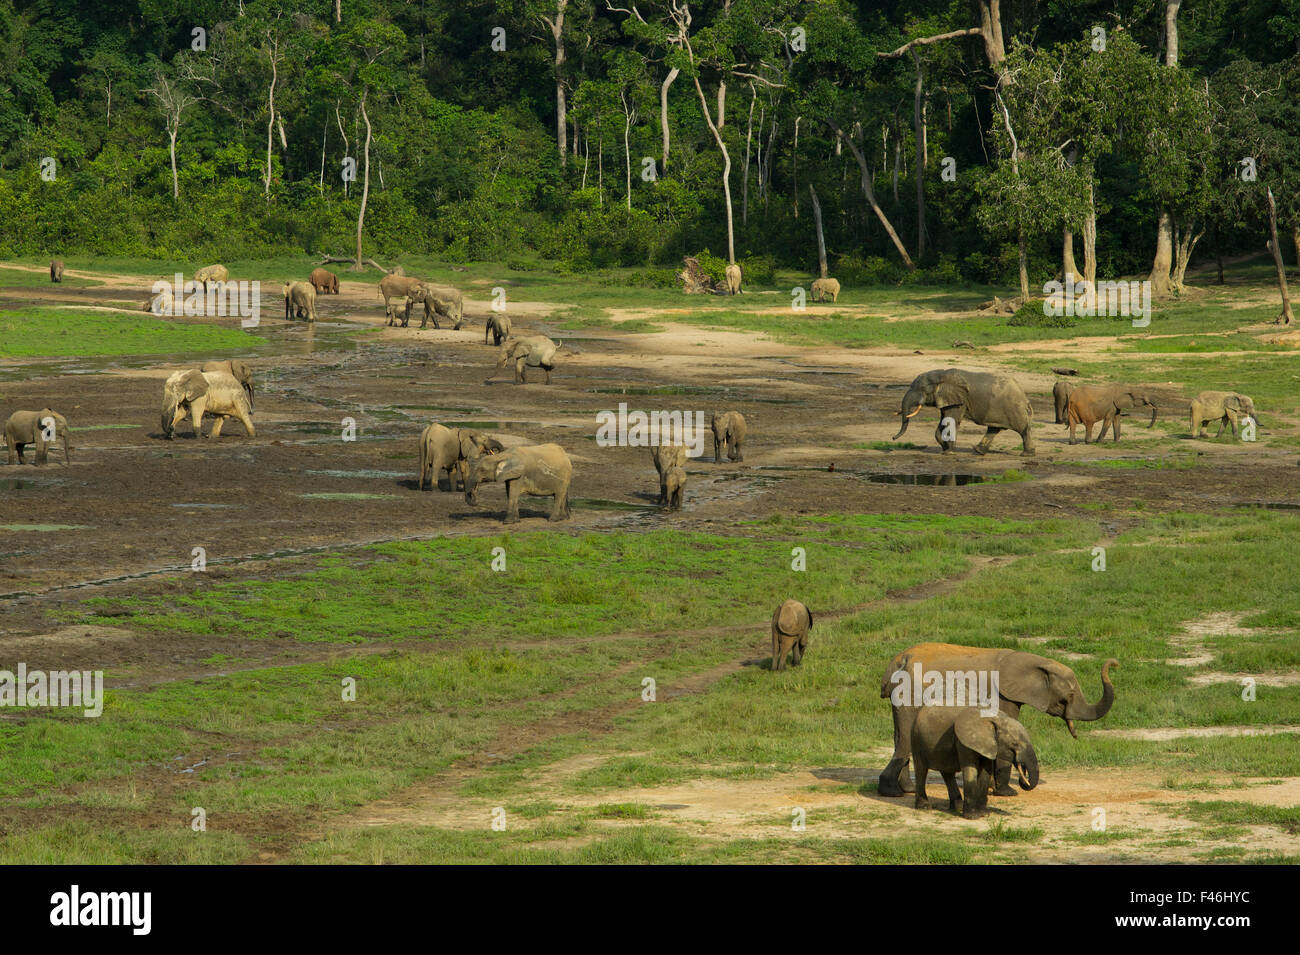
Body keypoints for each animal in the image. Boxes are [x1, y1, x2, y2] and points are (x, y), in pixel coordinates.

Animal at [878, 643, 1117, 798]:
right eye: (1069, 696)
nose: (1114, 663)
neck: (1033, 660)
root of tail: (898, 661)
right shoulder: (1002, 694)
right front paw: (1007, 793)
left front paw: (993, 788)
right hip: (909, 692)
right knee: (905, 738)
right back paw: (891, 792)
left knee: (901, 736)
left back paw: (906, 789)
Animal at [894, 369, 1035, 456]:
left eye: (922, 389)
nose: (893, 438)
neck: (941, 374)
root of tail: (1025, 397)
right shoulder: (948, 400)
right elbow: (944, 421)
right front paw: (945, 449)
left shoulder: (959, 401)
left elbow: (951, 421)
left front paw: (948, 452)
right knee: (993, 428)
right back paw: (978, 451)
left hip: (1014, 409)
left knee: (1023, 429)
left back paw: (1027, 454)